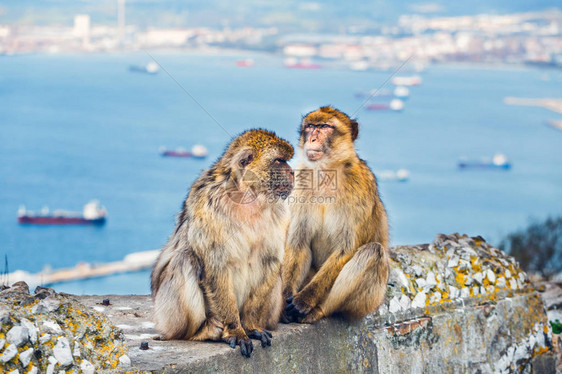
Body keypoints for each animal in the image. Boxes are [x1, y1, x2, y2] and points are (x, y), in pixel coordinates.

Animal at [151, 130, 296, 358]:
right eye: (279, 160)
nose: (292, 172)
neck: (248, 195)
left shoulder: (280, 213)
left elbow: (269, 261)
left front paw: (251, 327)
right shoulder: (208, 206)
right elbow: (215, 266)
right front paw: (236, 330)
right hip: (167, 317)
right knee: (185, 260)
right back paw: (202, 332)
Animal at [282, 106, 388, 324]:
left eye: (324, 127)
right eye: (310, 126)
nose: (312, 138)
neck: (326, 174)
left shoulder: (359, 188)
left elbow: (346, 249)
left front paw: (303, 301)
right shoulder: (300, 186)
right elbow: (298, 243)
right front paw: (284, 298)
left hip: (369, 302)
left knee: (374, 252)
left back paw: (318, 310)